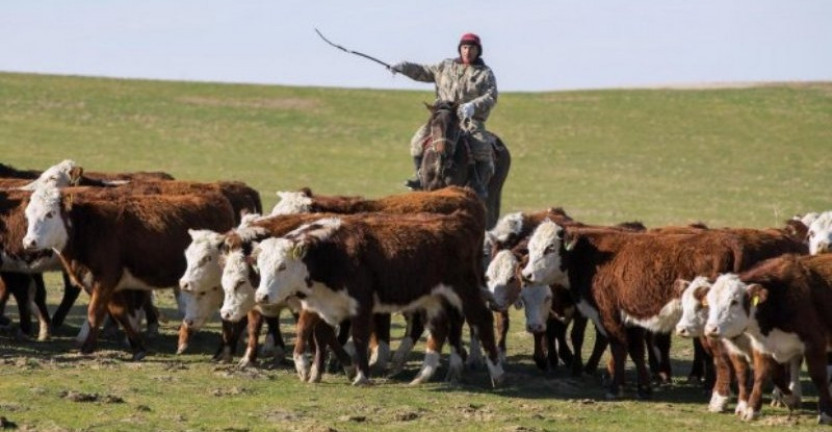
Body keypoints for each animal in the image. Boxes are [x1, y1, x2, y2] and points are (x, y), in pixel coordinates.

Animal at [21, 184, 236, 360]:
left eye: (50, 214)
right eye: (28, 215)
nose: (29, 242)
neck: (90, 228)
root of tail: (218, 199)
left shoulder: (105, 279)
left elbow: (95, 313)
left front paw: (87, 348)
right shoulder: (111, 284)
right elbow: (119, 313)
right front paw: (138, 347)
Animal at [250, 211, 504, 386]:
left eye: (282, 266)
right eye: (260, 266)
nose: (262, 296)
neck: (333, 252)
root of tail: (457, 221)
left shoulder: (361, 304)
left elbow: (359, 338)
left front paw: (361, 376)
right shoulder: (322, 305)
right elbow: (319, 335)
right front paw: (314, 372)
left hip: (465, 291)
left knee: (482, 320)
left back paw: (497, 374)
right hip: (433, 298)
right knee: (439, 329)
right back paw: (422, 376)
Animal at [704, 255, 832, 424]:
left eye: (734, 302)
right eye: (709, 302)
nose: (711, 329)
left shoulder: (814, 343)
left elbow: (819, 377)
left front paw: (825, 413)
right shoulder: (762, 346)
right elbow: (763, 376)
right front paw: (752, 409)